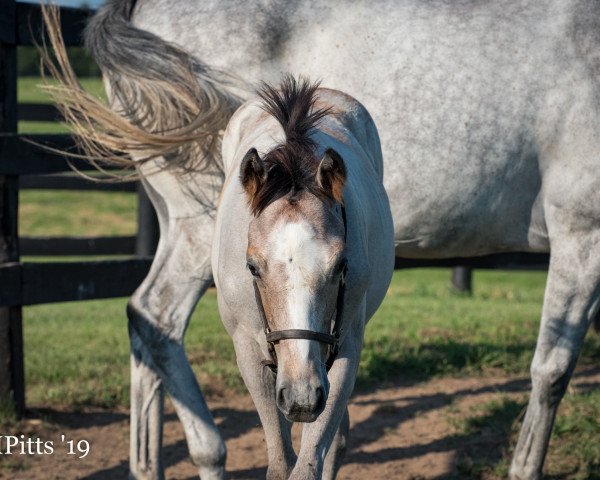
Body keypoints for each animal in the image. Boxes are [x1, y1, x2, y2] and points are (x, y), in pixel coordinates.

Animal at [213, 77, 396, 478]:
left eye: (340, 265)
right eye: (252, 267)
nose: (301, 398)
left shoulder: (344, 350)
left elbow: (309, 463)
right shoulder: (249, 352)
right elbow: (281, 463)